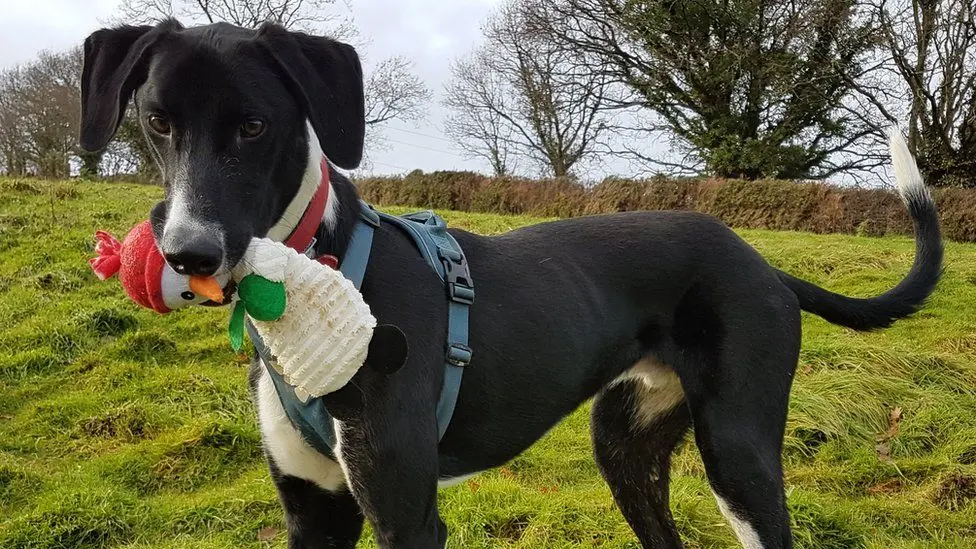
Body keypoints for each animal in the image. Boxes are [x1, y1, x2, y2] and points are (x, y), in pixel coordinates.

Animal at [80, 20, 940, 548]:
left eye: (254, 125)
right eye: (157, 121)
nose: (189, 254)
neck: (317, 281)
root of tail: (762, 262)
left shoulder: (403, 511)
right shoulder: (312, 511)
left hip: (739, 449)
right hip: (625, 446)